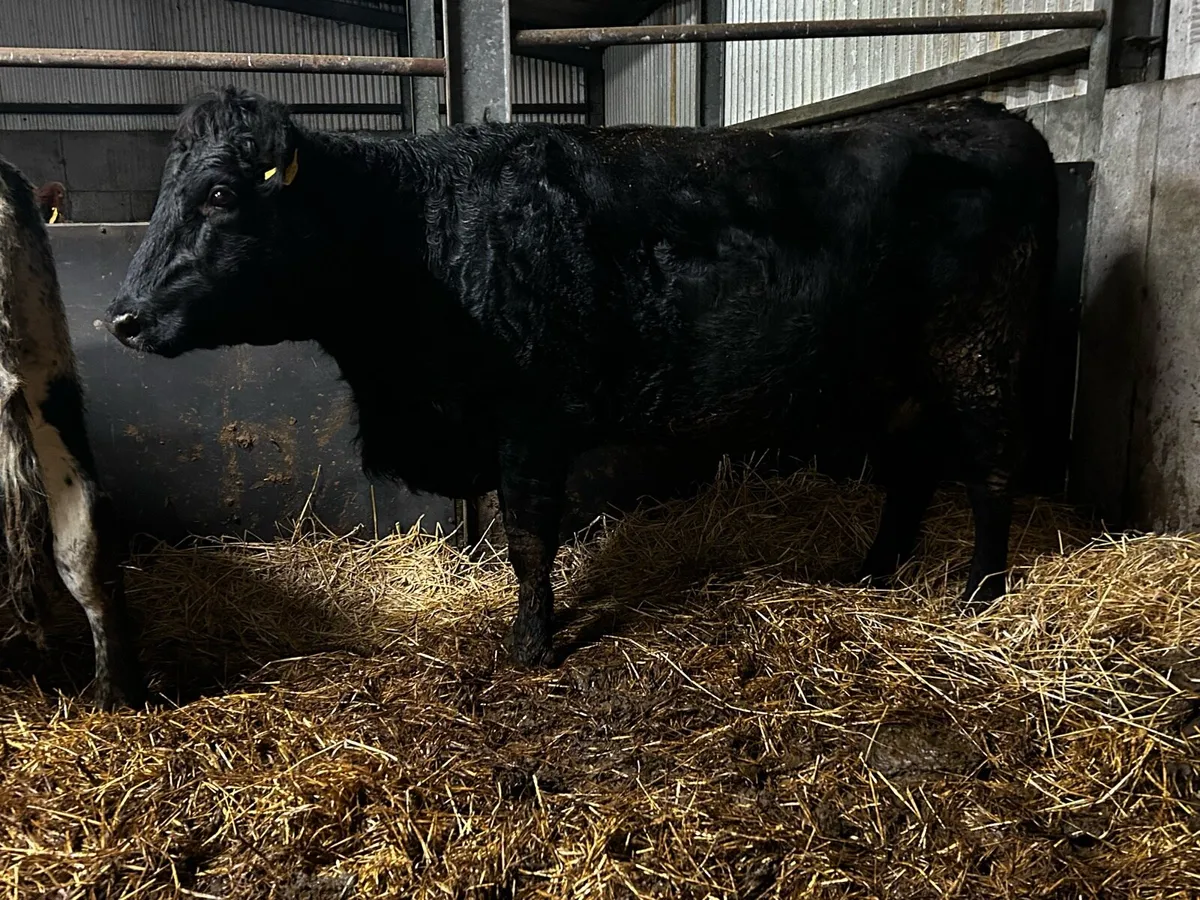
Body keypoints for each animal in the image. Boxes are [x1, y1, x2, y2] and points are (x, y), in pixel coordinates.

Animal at [106, 87, 1059, 668]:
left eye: (220, 194)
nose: (121, 316)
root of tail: (986, 116)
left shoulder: (531, 423)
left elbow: (530, 539)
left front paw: (532, 643)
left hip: (979, 352)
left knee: (992, 466)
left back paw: (981, 588)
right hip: (898, 376)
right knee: (912, 470)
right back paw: (875, 571)